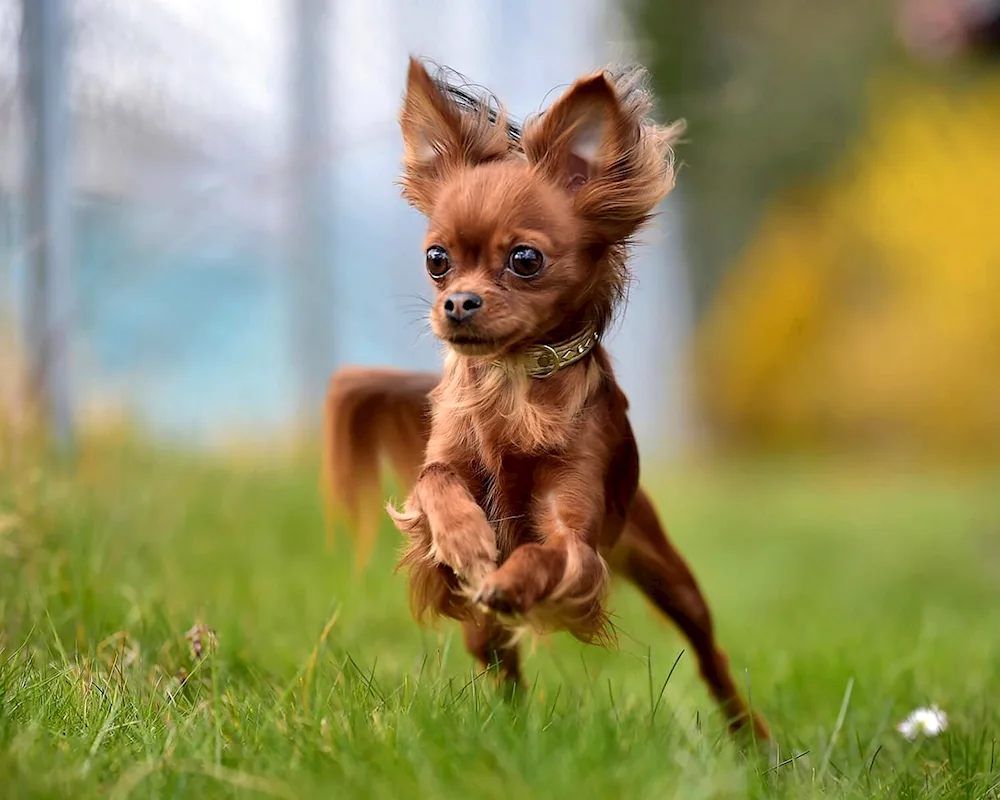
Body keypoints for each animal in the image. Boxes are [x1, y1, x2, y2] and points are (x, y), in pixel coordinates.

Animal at [324, 56, 768, 740]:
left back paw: (752, 739)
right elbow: (436, 483)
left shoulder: (576, 540)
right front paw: (467, 539)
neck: (511, 383)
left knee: (710, 658)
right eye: (436, 259)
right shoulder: (439, 484)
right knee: (501, 667)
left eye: (525, 259)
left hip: (670, 577)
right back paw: (512, 731)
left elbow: (547, 554)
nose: (456, 303)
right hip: (481, 633)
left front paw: (512, 575)